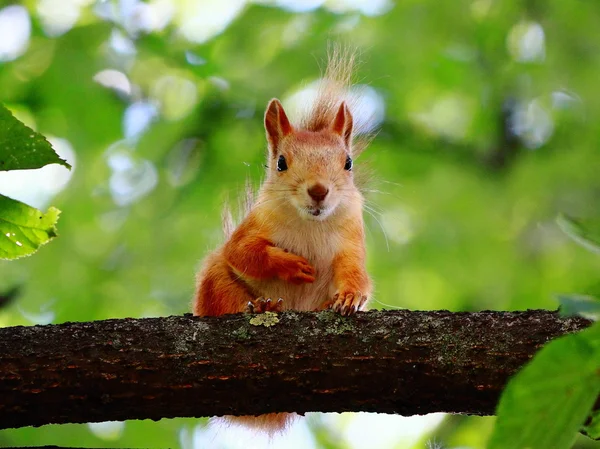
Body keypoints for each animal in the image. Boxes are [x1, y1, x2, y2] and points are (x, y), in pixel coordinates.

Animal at [195, 48, 372, 434]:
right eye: (281, 163)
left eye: (348, 163)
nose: (318, 191)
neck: (310, 225)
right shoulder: (251, 229)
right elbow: (244, 253)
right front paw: (291, 265)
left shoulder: (352, 240)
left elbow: (356, 274)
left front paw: (349, 297)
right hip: (217, 284)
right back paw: (263, 308)